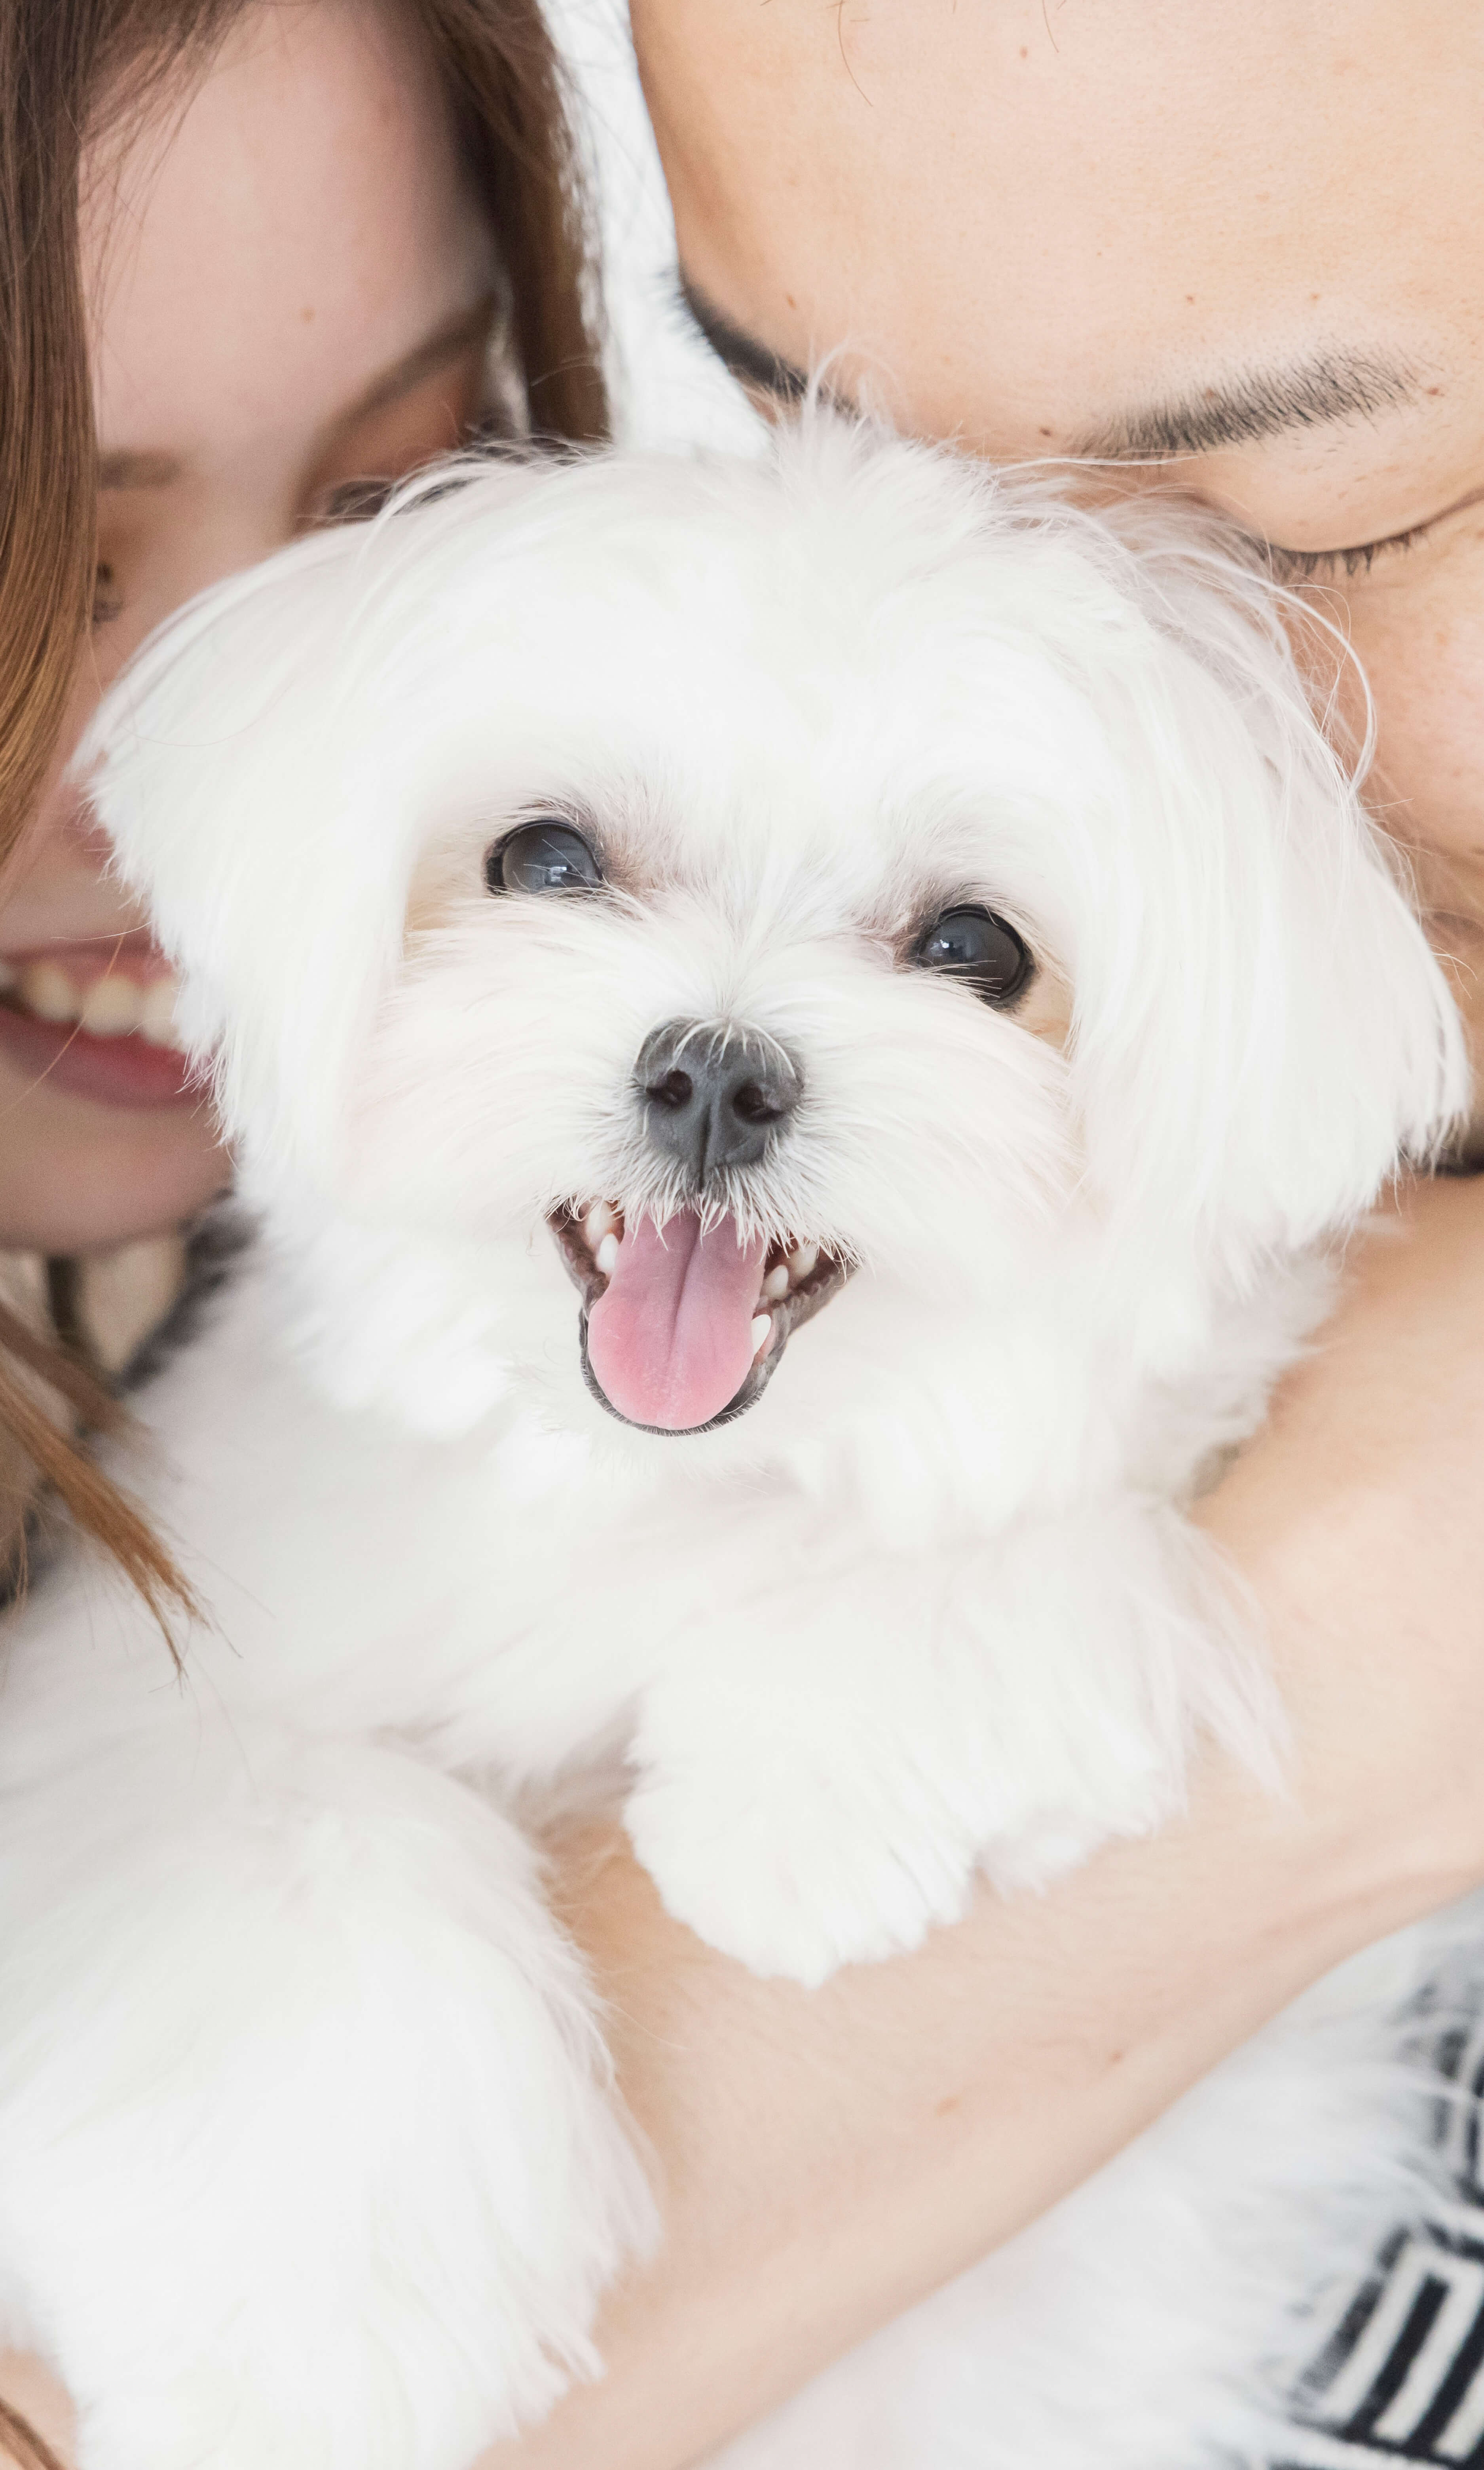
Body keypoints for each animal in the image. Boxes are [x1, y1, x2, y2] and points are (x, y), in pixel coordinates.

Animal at [0, 425, 1461, 2470]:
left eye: (972, 949)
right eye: (543, 859)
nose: (713, 1071)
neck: (644, 1482)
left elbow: (998, 1546)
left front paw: (806, 1800)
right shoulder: (113, 1701)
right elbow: (279, 1830)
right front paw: (322, 2324)